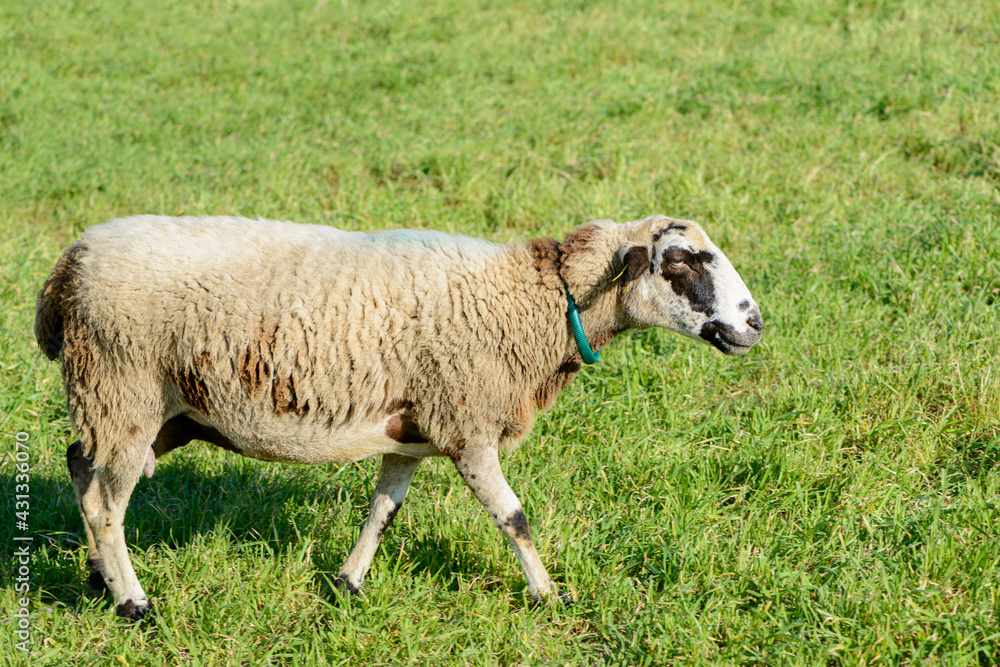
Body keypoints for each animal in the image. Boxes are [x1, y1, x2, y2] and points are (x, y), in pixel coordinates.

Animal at [35, 214, 763, 620]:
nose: (754, 323)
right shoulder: (467, 424)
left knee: (79, 466)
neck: (534, 303)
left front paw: (347, 585)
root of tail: (67, 266)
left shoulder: (411, 433)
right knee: (104, 502)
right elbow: (514, 517)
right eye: (680, 262)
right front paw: (550, 595)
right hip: (122, 386)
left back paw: (98, 577)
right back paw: (134, 603)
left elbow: (382, 512)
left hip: (148, 408)